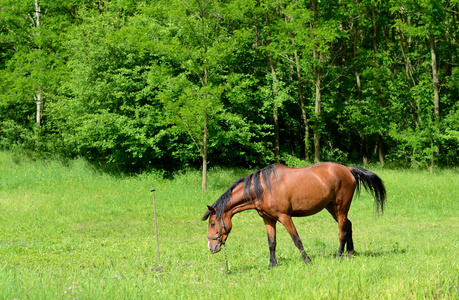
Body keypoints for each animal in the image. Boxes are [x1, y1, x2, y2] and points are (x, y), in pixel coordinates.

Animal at [203, 163, 386, 268]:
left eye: (212, 224)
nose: (211, 247)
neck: (263, 189)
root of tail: (348, 169)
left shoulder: (285, 217)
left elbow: (297, 240)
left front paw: (308, 262)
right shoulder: (268, 219)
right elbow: (271, 243)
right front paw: (272, 265)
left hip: (341, 207)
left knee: (342, 230)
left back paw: (340, 256)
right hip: (331, 207)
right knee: (348, 225)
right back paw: (350, 253)